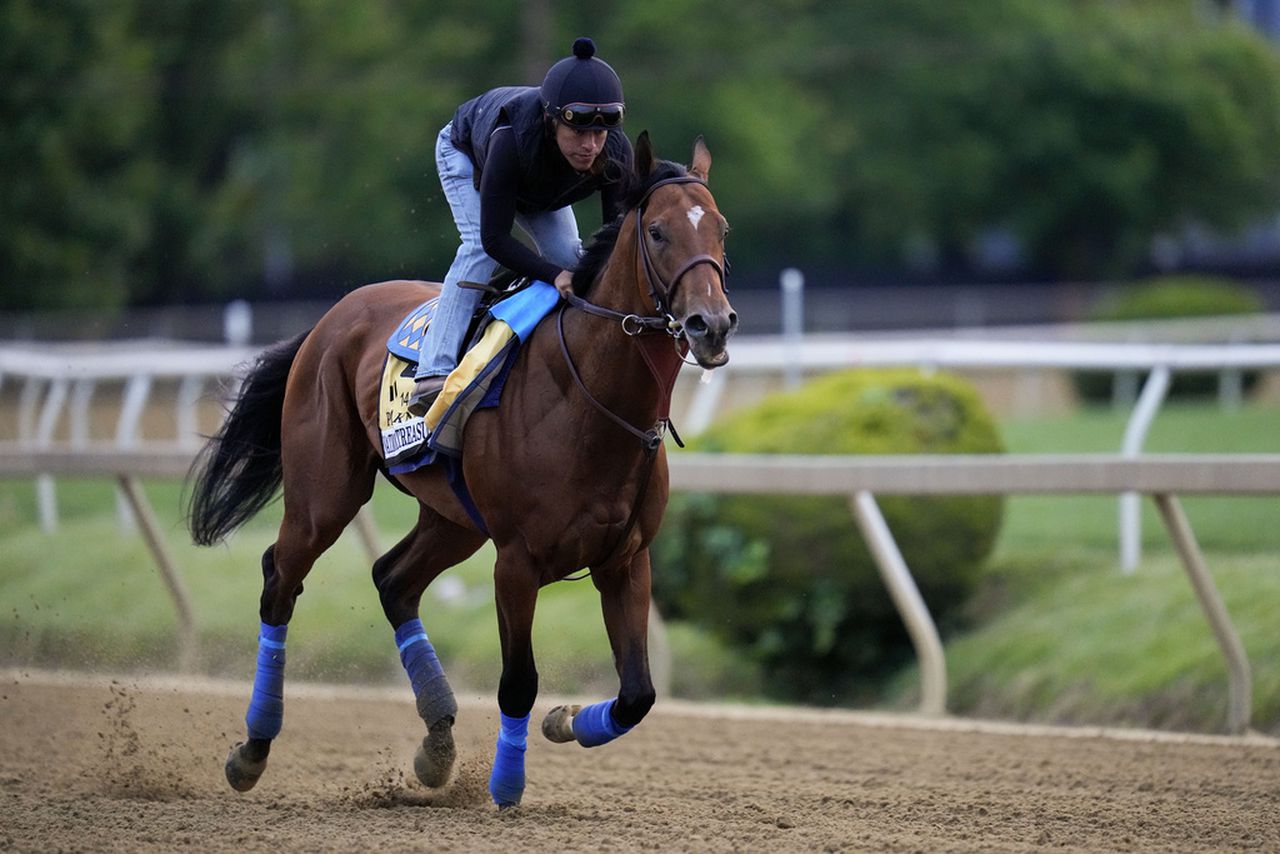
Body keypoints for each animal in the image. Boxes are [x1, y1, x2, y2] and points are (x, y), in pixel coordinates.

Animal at [185, 133, 737, 809]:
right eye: (657, 232)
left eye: (721, 229)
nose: (711, 324)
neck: (590, 398)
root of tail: (330, 318)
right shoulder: (517, 560)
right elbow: (519, 681)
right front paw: (506, 785)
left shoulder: (626, 559)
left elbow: (638, 695)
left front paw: (563, 722)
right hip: (324, 496)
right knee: (280, 581)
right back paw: (254, 749)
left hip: (454, 520)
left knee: (393, 580)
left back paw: (437, 744)